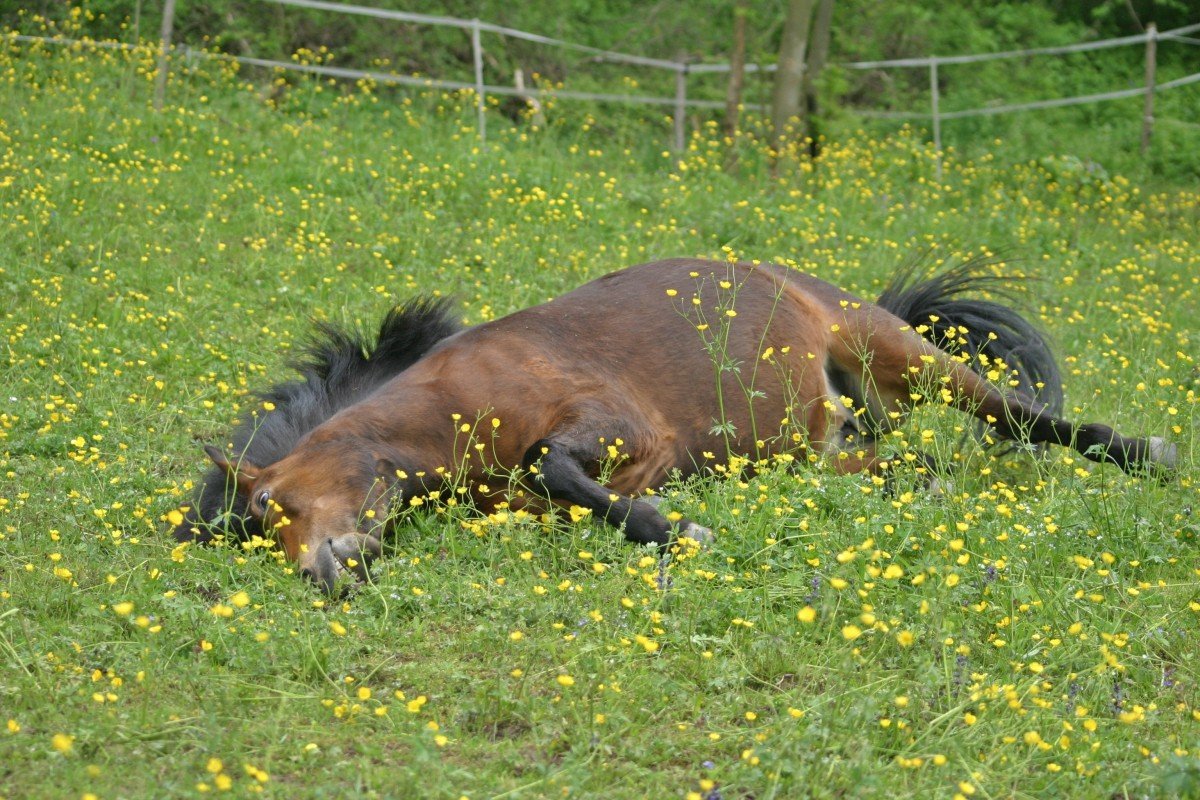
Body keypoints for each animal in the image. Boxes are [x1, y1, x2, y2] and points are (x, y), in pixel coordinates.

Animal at [174, 257, 1176, 594]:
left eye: (265, 508)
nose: (326, 576)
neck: (451, 395)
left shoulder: (615, 426)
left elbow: (555, 466)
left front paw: (674, 530)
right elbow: (565, 492)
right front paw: (665, 525)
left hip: (901, 352)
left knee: (1026, 418)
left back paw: (1149, 455)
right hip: (813, 450)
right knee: (886, 462)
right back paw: (919, 484)